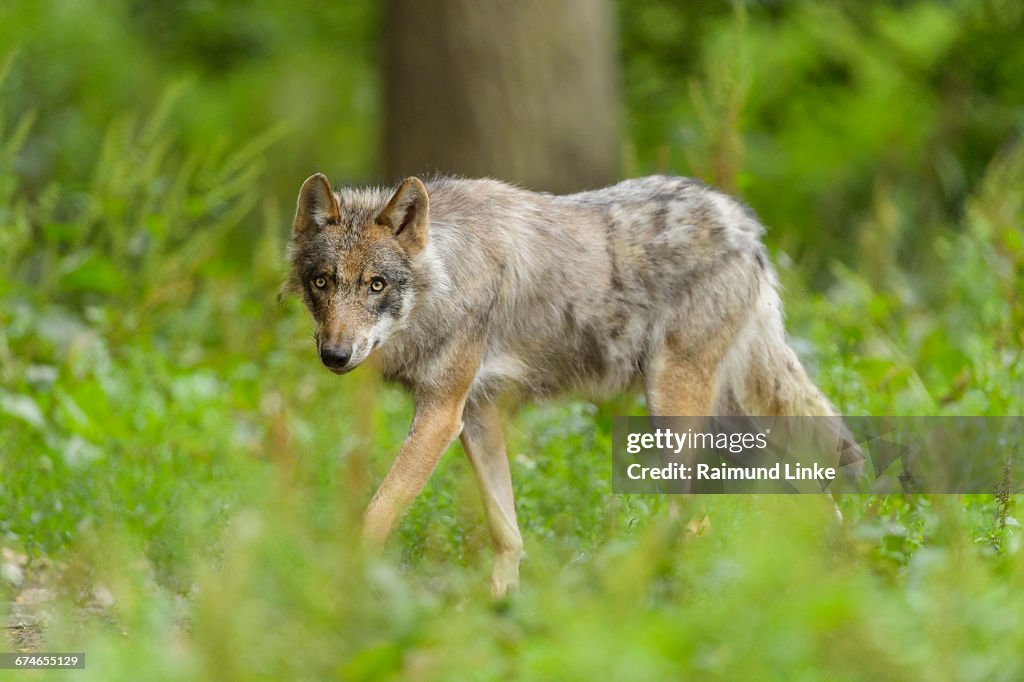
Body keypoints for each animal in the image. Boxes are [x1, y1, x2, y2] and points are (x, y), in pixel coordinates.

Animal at [282, 173, 853, 595]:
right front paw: (497, 607)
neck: (446, 278)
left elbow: (376, 514)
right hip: (734, 423)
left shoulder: (442, 415)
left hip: (675, 415)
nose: (334, 355)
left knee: (692, 516)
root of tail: (740, 222)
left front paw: (340, 587)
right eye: (322, 282)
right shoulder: (477, 417)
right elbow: (507, 532)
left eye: (376, 285)